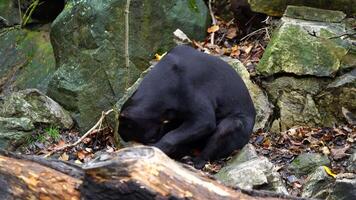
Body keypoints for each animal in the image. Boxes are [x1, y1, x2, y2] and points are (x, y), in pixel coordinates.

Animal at [119, 44, 256, 168]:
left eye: (150, 139)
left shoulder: (190, 91)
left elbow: (204, 121)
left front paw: (157, 149)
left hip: (239, 126)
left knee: (226, 128)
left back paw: (195, 161)